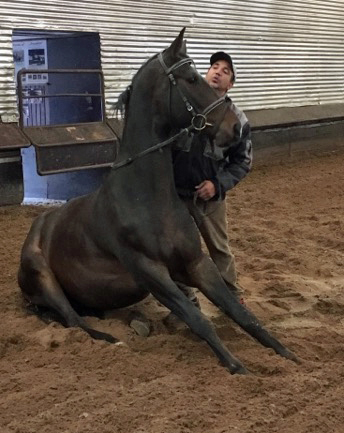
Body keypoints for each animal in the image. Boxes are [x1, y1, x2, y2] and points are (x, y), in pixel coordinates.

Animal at [19, 27, 298, 372]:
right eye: (192, 78)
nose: (238, 128)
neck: (146, 198)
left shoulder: (195, 263)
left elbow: (242, 313)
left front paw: (288, 355)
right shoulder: (150, 272)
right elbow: (197, 319)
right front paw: (237, 366)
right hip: (43, 278)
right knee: (73, 320)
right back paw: (116, 339)